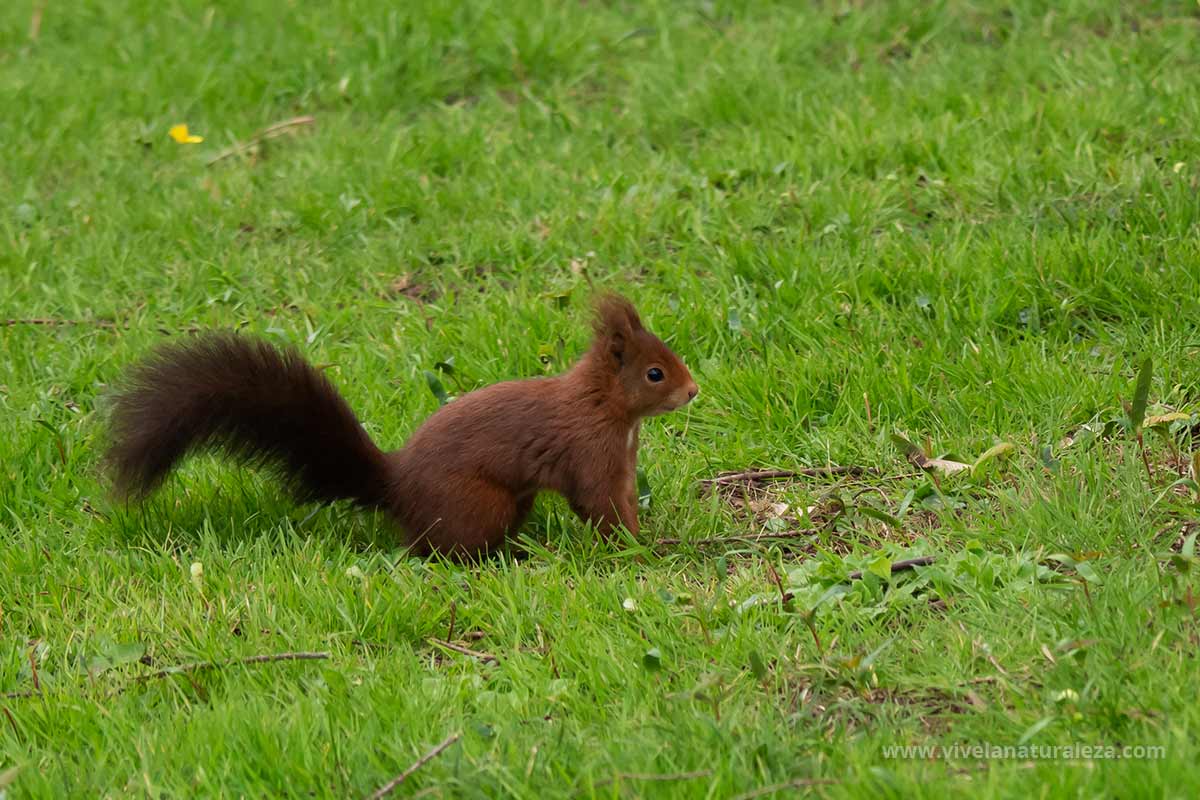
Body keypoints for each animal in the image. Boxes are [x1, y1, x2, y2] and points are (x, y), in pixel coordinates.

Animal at [108, 296, 700, 556]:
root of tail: (395, 488)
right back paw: (506, 557)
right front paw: (634, 548)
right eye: (655, 372)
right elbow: (598, 503)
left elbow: (623, 499)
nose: (694, 391)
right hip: (479, 504)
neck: (605, 406)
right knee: (445, 550)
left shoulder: (622, 462)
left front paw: (650, 537)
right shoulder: (590, 453)